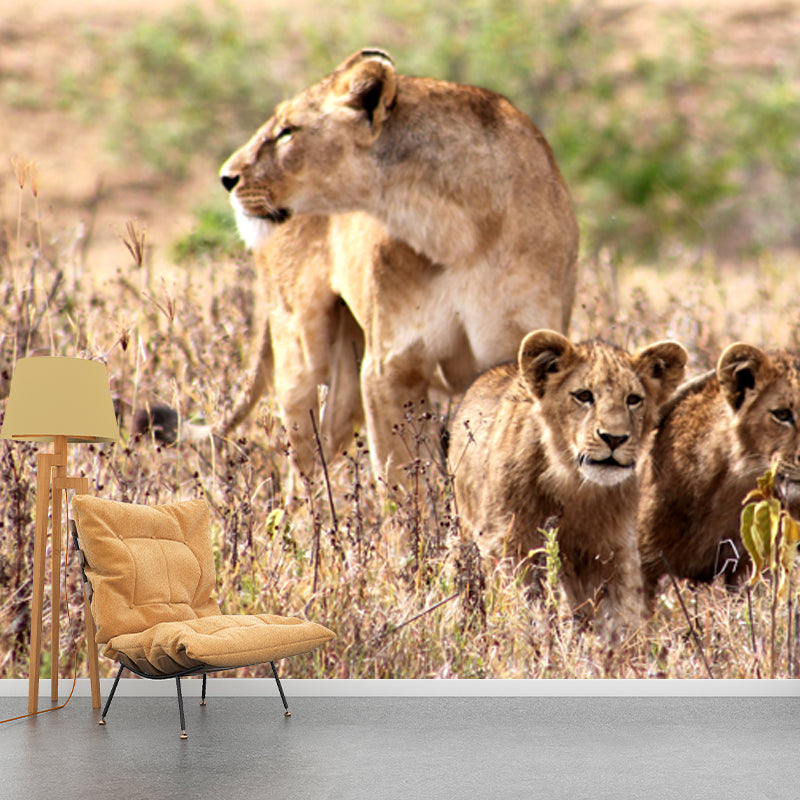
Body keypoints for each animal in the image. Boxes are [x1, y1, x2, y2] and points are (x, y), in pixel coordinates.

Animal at [214, 48, 579, 488]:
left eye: (287, 131)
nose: (227, 177)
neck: (458, 231)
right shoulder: (391, 366)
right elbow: (404, 480)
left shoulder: (518, 354)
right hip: (299, 346)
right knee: (301, 463)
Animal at [449, 330, 687, 635]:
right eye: (584, 396)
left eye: (633, 399)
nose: (614, 438)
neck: (574, 485)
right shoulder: (509, 544)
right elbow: (526, 605)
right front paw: (535, 640)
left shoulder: (614, 550)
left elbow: (621, 614)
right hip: (465, 535)